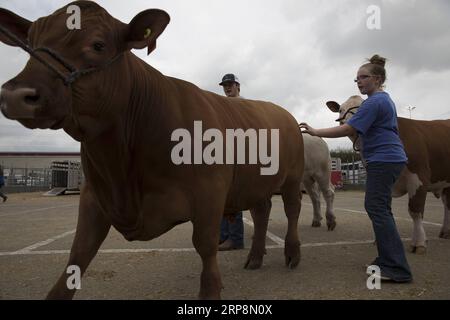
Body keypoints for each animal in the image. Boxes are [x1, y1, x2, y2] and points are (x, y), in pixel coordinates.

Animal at [0, 1, 304, 300]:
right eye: (29, 44)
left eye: (98, 45)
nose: (15, 95)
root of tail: (283, 112)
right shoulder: (93, 196)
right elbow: (78, 254)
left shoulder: (210, 192)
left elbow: (205, 246)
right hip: (257, 183)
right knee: (262, 212)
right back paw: (255, 257)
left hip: (292, 177)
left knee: (292, 211)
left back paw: (292, 254)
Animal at [326, 96, 450, 254]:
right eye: (341, 109)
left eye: (367, 108)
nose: (354, 123)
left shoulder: (419, 177)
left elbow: (415, 212)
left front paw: (419, 243)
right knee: (447, 204)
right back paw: (445, 231)